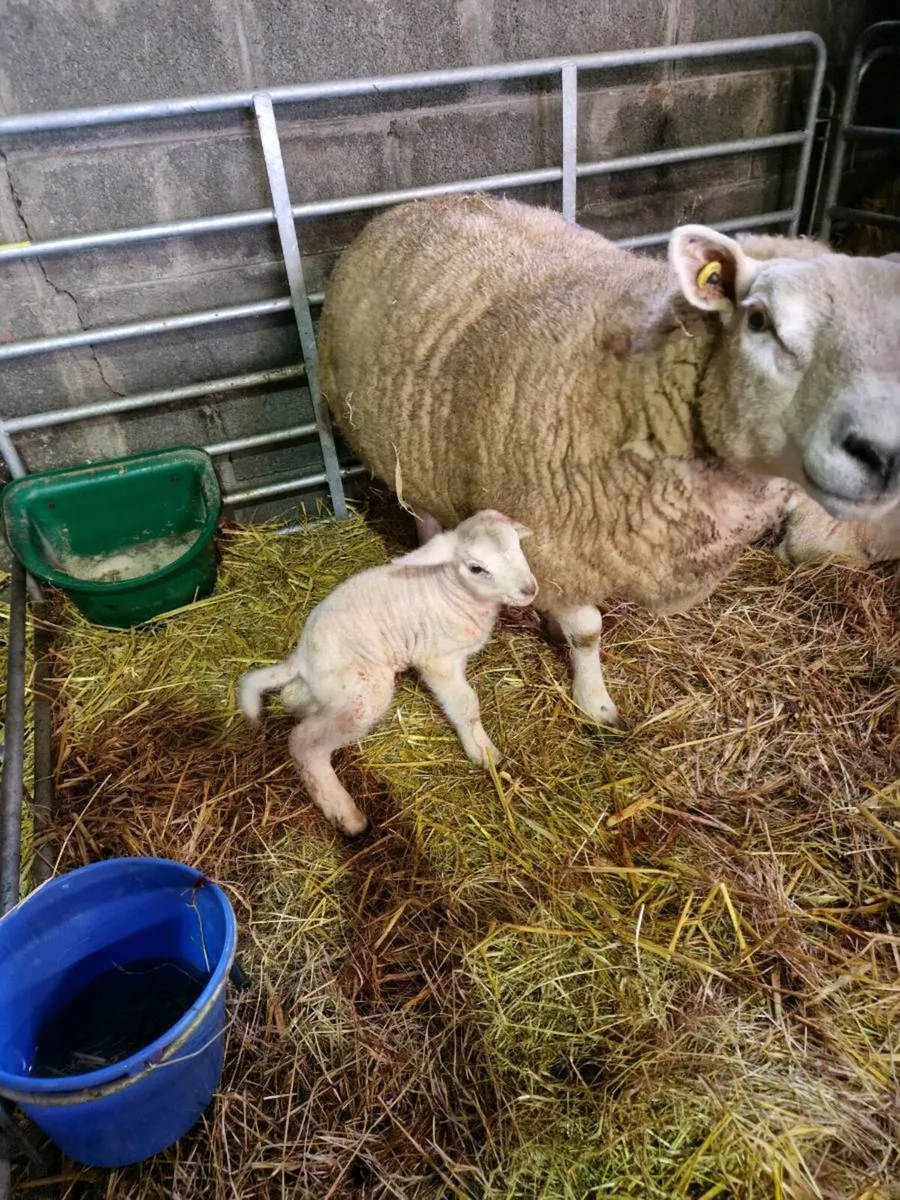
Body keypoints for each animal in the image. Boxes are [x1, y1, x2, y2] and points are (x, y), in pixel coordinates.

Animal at [238, 510, 537, 836]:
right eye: (477, 568)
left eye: (517, 544)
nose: (530, 590)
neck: (451, 589)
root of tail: (302, 656)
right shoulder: (437, 660)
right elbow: (466, 705)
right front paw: (483, 751)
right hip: (363, 692)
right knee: (304, 743)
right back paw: (345, 815)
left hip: (331, 687)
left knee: (293, 698)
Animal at [317, 194, 900, 728]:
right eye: (759, 320)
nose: (881, 455)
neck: (638, 387)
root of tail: (411, 206)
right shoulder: (560, 545)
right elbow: (587, 633)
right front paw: (595, 704)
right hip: (397, 450)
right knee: (421, 512)